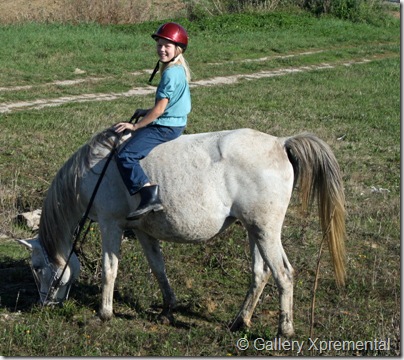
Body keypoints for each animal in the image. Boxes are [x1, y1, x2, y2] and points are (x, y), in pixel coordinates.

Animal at [17, 127, 344, 338]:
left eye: (37, 267)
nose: (44, 305)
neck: (95, 169)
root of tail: (280, 143)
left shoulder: (111, 225)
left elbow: (110, 269)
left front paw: (104, 312)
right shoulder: (143, 231)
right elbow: (158, 268)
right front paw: (167, 308)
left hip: (265, 230)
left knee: (283, 275)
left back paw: (283, 331)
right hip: (254, 231)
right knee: (260, 274)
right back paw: (240, 321)